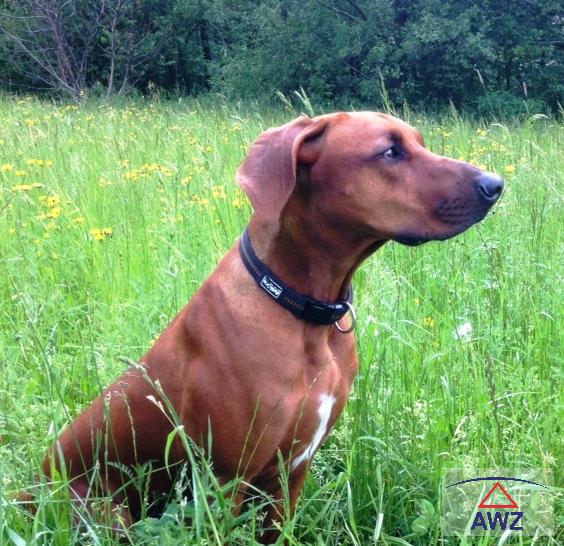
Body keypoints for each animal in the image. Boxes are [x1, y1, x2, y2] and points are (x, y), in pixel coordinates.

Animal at [40, 112, 503, 541]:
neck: (303, 314)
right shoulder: (225, 481)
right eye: (390, 152)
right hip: (105, 510)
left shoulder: (290, 473)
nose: (495, 184)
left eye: (420, 143)